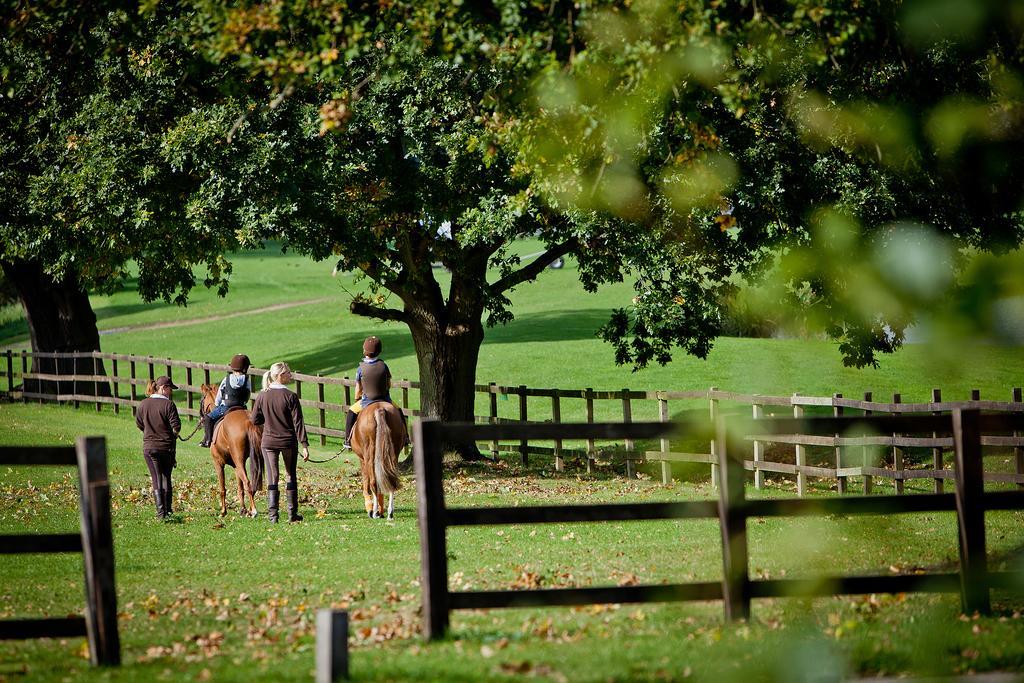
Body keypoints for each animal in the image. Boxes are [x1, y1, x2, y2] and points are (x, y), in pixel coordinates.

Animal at [199, 385, 264, 518]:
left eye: (202, 400)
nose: (201, 416)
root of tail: (248, 421)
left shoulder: (218, 463)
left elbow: (222, 489)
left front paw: (223, 511)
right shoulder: (235, 466)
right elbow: (240, 488)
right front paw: (243, 509)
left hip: (238, 461)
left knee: (248, 483)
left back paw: (254, 511)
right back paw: (251, 509)